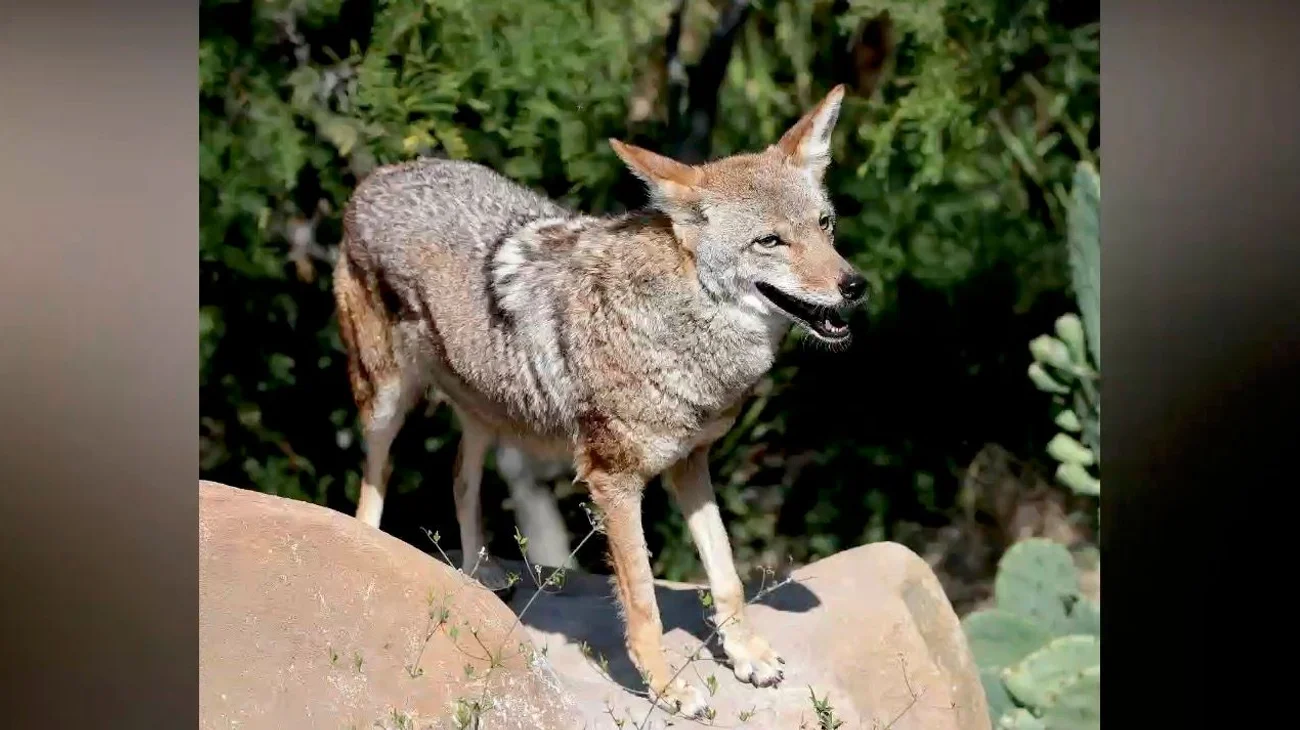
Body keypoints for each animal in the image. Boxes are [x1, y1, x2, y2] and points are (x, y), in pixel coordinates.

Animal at [333, 84, 865, 717]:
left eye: (825, 225)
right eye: (770, 241)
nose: (855, 286)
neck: (676, 327)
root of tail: (383, 173)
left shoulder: (690, 463)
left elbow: (726, 572)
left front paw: (746, 655)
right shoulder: (614, 480)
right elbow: (642, 599)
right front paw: (665, 687)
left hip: (489, 411)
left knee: (460, 476)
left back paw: (478, 575)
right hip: (385, 403)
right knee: (373, 481)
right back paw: (370, 551)